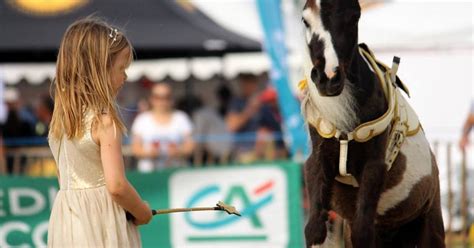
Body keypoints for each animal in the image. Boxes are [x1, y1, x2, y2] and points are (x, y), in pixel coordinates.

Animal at [300, 0, 444, 247]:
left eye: (354, 16)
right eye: (305, 20)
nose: (328, 77)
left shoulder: (373, 167)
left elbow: (362, 233)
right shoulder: (318, 161)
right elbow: (315, 229)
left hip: (429, 226)